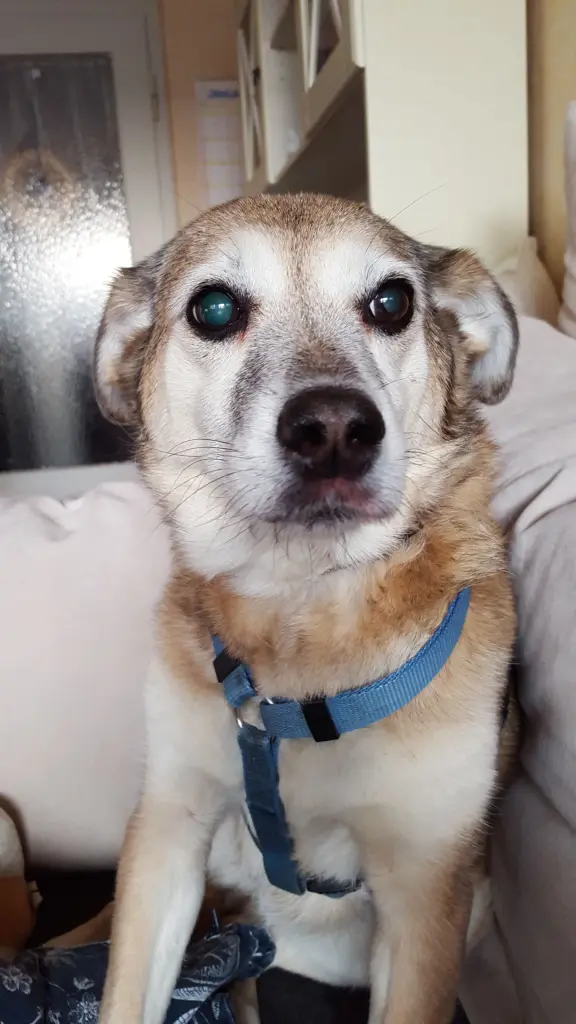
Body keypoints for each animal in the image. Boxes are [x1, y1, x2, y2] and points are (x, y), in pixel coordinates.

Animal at [94, 193, 519, 1024]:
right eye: (214, 308)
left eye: (391, 303)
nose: (334, 430)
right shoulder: (166, 825)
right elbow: (123, 999)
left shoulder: (425, 893)